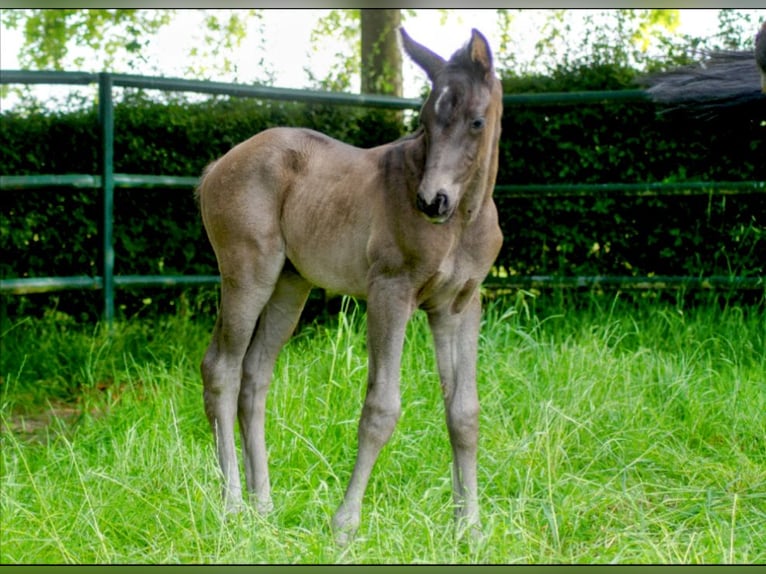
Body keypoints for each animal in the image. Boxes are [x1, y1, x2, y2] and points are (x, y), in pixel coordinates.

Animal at [196, 28, 503, 544]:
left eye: (477, 121)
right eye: (424, 120)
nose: (431, 201)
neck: (463, 221)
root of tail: (216, 166)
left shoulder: (458, 305)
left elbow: (464, 412)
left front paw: (470, 528)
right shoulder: (390, 294)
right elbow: (381, 408)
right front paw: (344, 525)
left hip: (289, 287)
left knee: (255, 378)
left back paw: (264, 505)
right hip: (247, 274)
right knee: (221, 368)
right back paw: (234, 506)